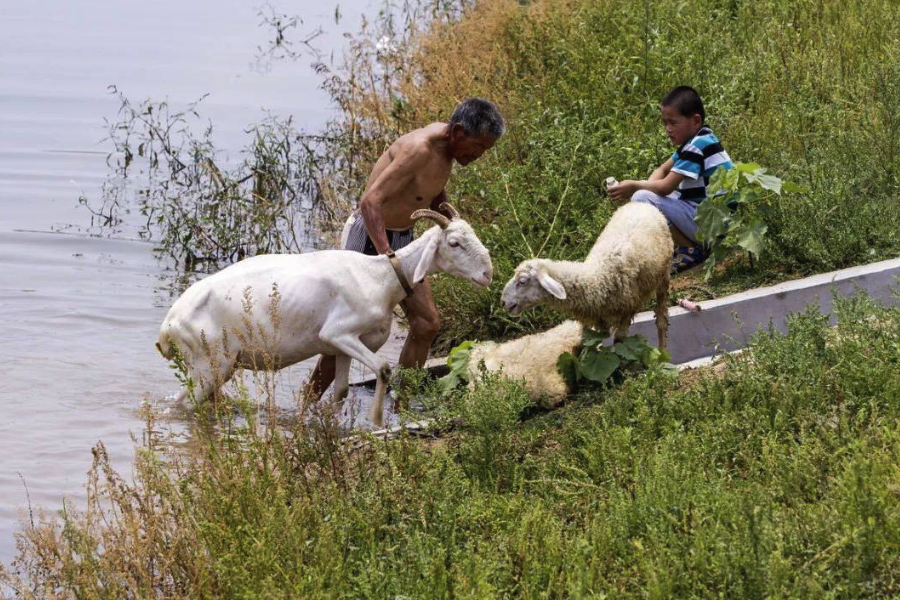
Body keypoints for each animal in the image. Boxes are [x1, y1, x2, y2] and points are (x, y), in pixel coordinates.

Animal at [502, 203, 672, 350]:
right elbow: (585, 344)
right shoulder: (594, 317)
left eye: (522, 281)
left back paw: (663, 352)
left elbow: (619, 342)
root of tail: (642, 204)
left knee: (661, 319)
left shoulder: (629, 308)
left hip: (663, 276)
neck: (598, 277)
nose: (503, 302)